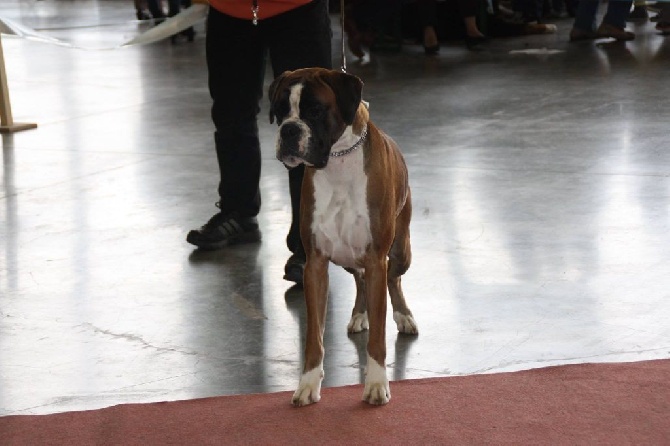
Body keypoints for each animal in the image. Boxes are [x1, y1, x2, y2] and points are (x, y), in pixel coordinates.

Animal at [270, 68, 418, 406]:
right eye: (280, 110)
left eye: (314, 110)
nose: (288, 130)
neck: (337, 161)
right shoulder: (315, 265)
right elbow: (314, 336)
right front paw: (308, 384)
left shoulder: (376, 258)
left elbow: (377, 338)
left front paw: (376, 384)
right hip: (346, 257)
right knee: (360, 280)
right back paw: (359, 315)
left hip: (400, 251)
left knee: (394, 279)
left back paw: (403, 316)